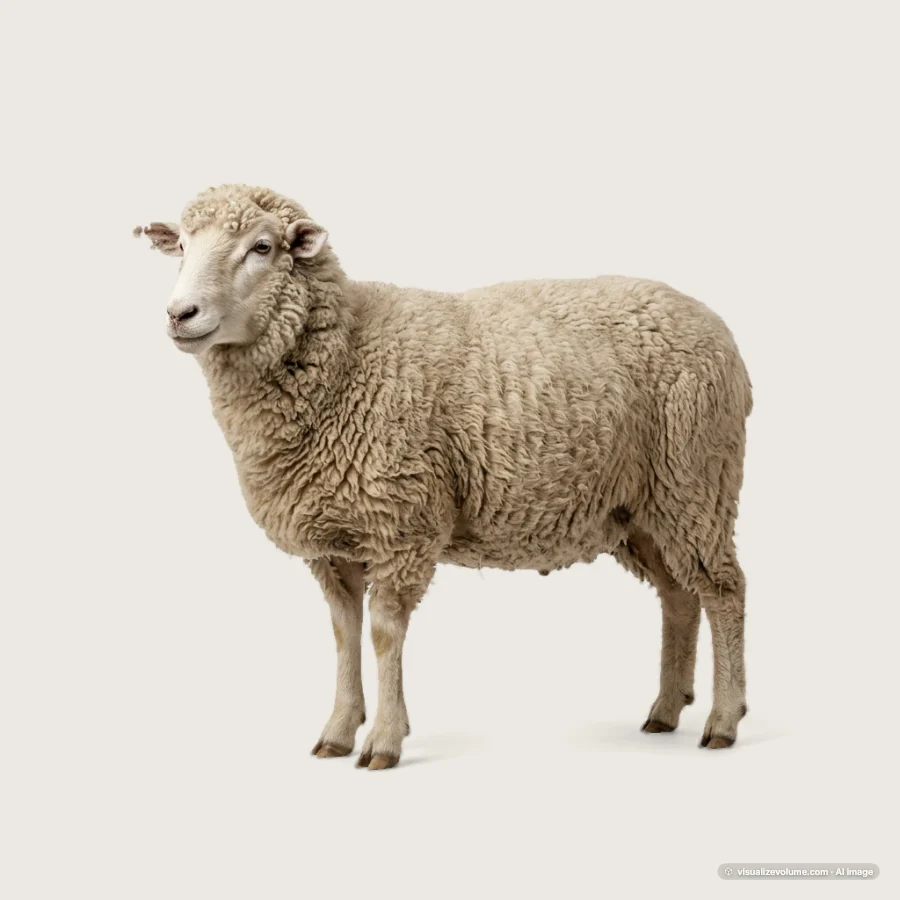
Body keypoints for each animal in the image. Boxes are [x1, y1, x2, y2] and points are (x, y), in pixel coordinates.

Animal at [137, 184, 752, 769]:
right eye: (182, 247)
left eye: (261, 247)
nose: (180, 314)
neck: (348, 355)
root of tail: (713, 323)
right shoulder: (332, 541)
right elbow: (343, 633)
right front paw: (338, 730)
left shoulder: (401, 524)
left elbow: (384, 633)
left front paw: (384, 740)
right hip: (643, 508)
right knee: (678, 596)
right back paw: (666, 709)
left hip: (696, 479)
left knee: (724, 591)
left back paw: (723, 718)